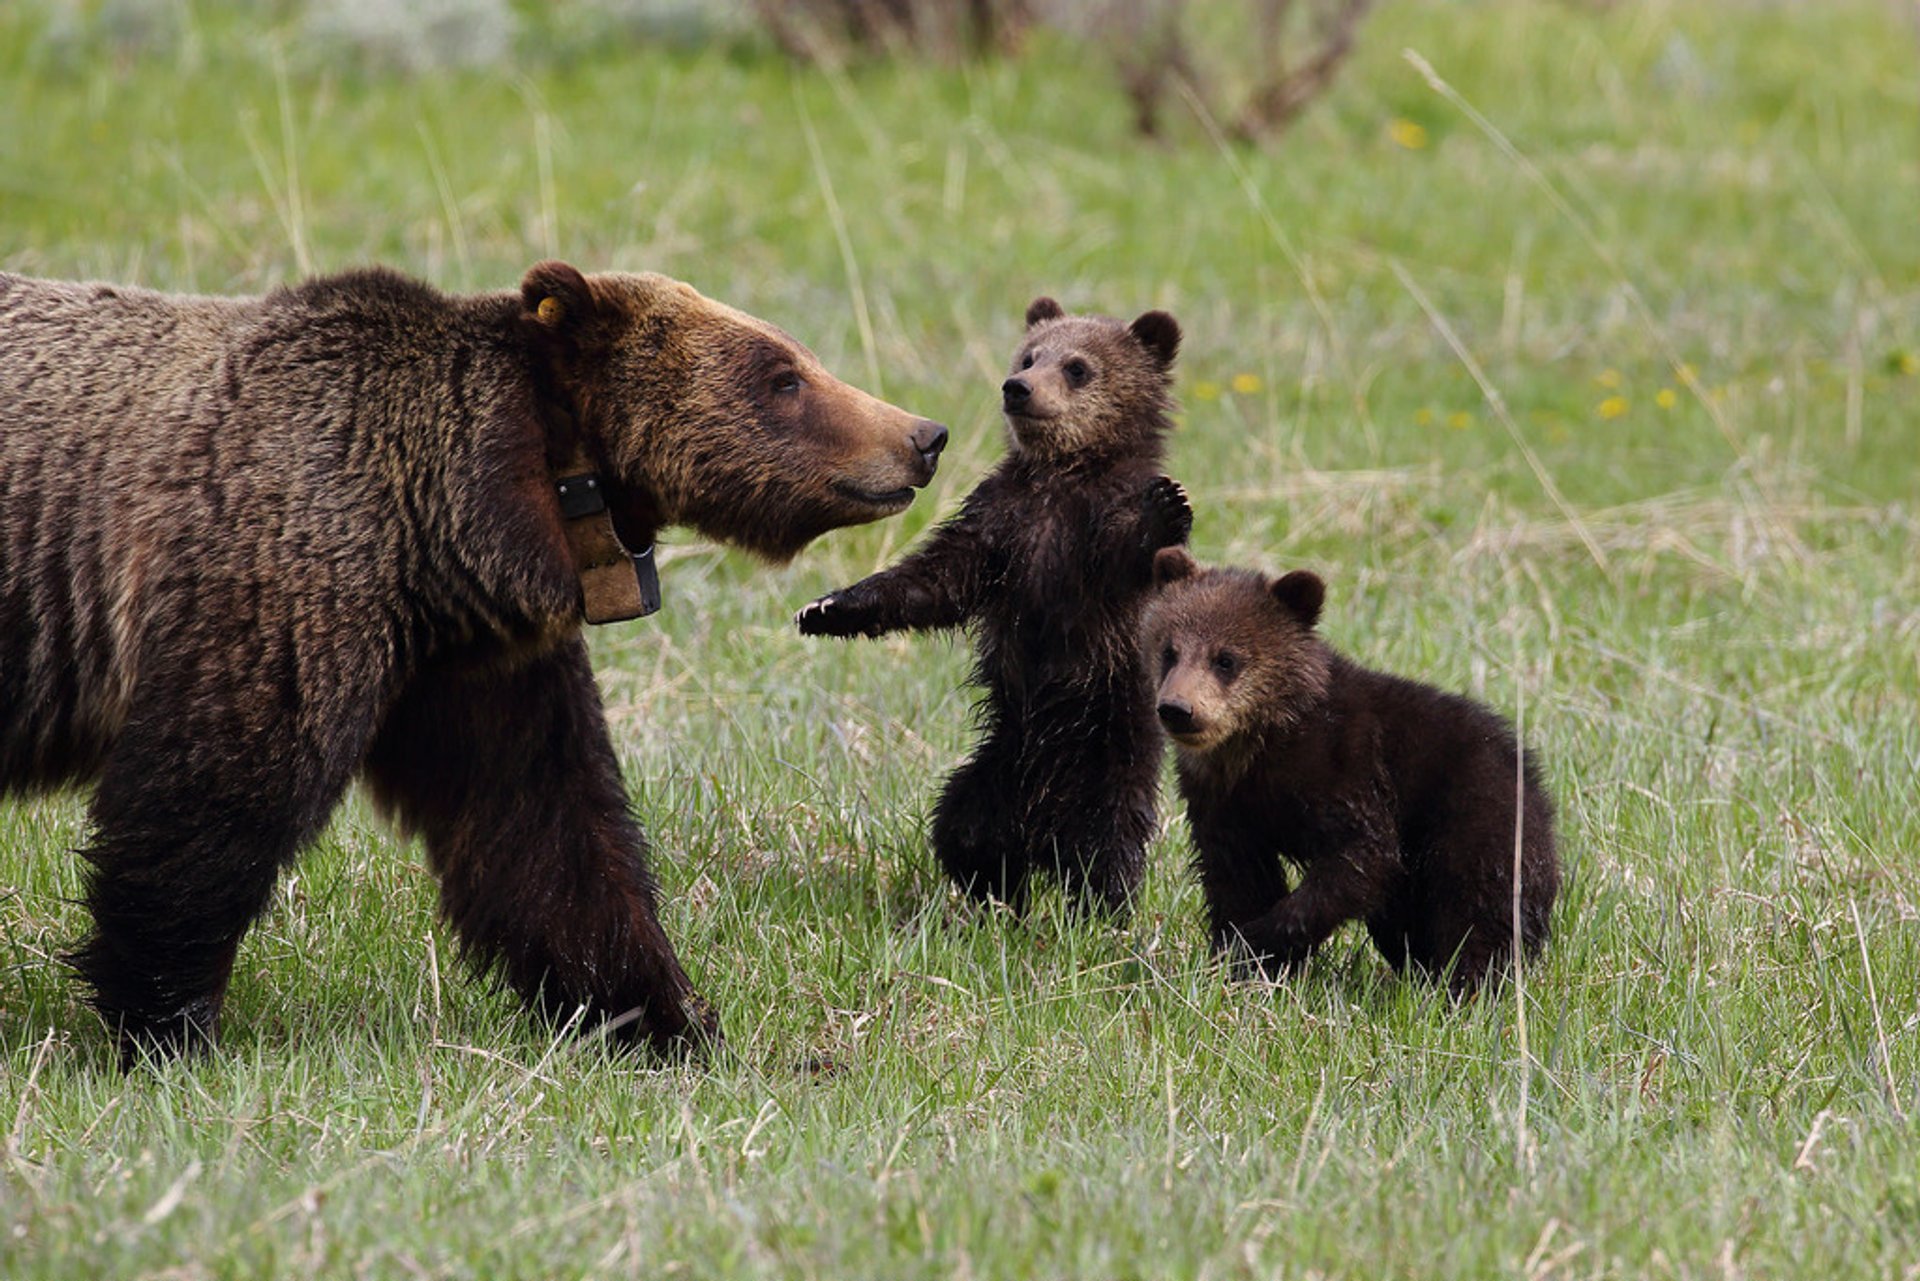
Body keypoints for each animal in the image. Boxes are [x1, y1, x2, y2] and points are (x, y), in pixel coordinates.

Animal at [0, 257, 944, 1060]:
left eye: (798, 358)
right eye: (781, 376)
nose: (922, 434)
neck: (440, 530)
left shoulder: (473, 662)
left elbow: (547, 833)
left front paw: (668, 1020)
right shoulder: (283, 578)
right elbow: (209, 801)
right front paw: (166, 1022)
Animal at [794, 295, 1182, 918]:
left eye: (1077, 366)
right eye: (1029, 355)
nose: (1017, 388)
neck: (1058, 480)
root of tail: (1042, 830)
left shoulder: (1088, 543)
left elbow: (1127, 552)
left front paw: (1168, 506)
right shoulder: (1000, 527)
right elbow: (933, 582)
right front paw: (827, 608)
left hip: (1110, 754)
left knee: (1107, 848)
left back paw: (1100, 912)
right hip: (996, 768)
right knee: (966, 829)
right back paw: (998, 899)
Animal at [1136, 549, 1559, 990]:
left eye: (1226, 659)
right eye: (1169, 650)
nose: (1177, 709)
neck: (1261, 744)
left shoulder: (1348, 768)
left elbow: (1360, 859)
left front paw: (1261, 940)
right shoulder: (1223, 803)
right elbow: (1238, 878)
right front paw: (1240, 957)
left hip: (1476, 817)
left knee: (1477, 910)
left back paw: (1464, 985)